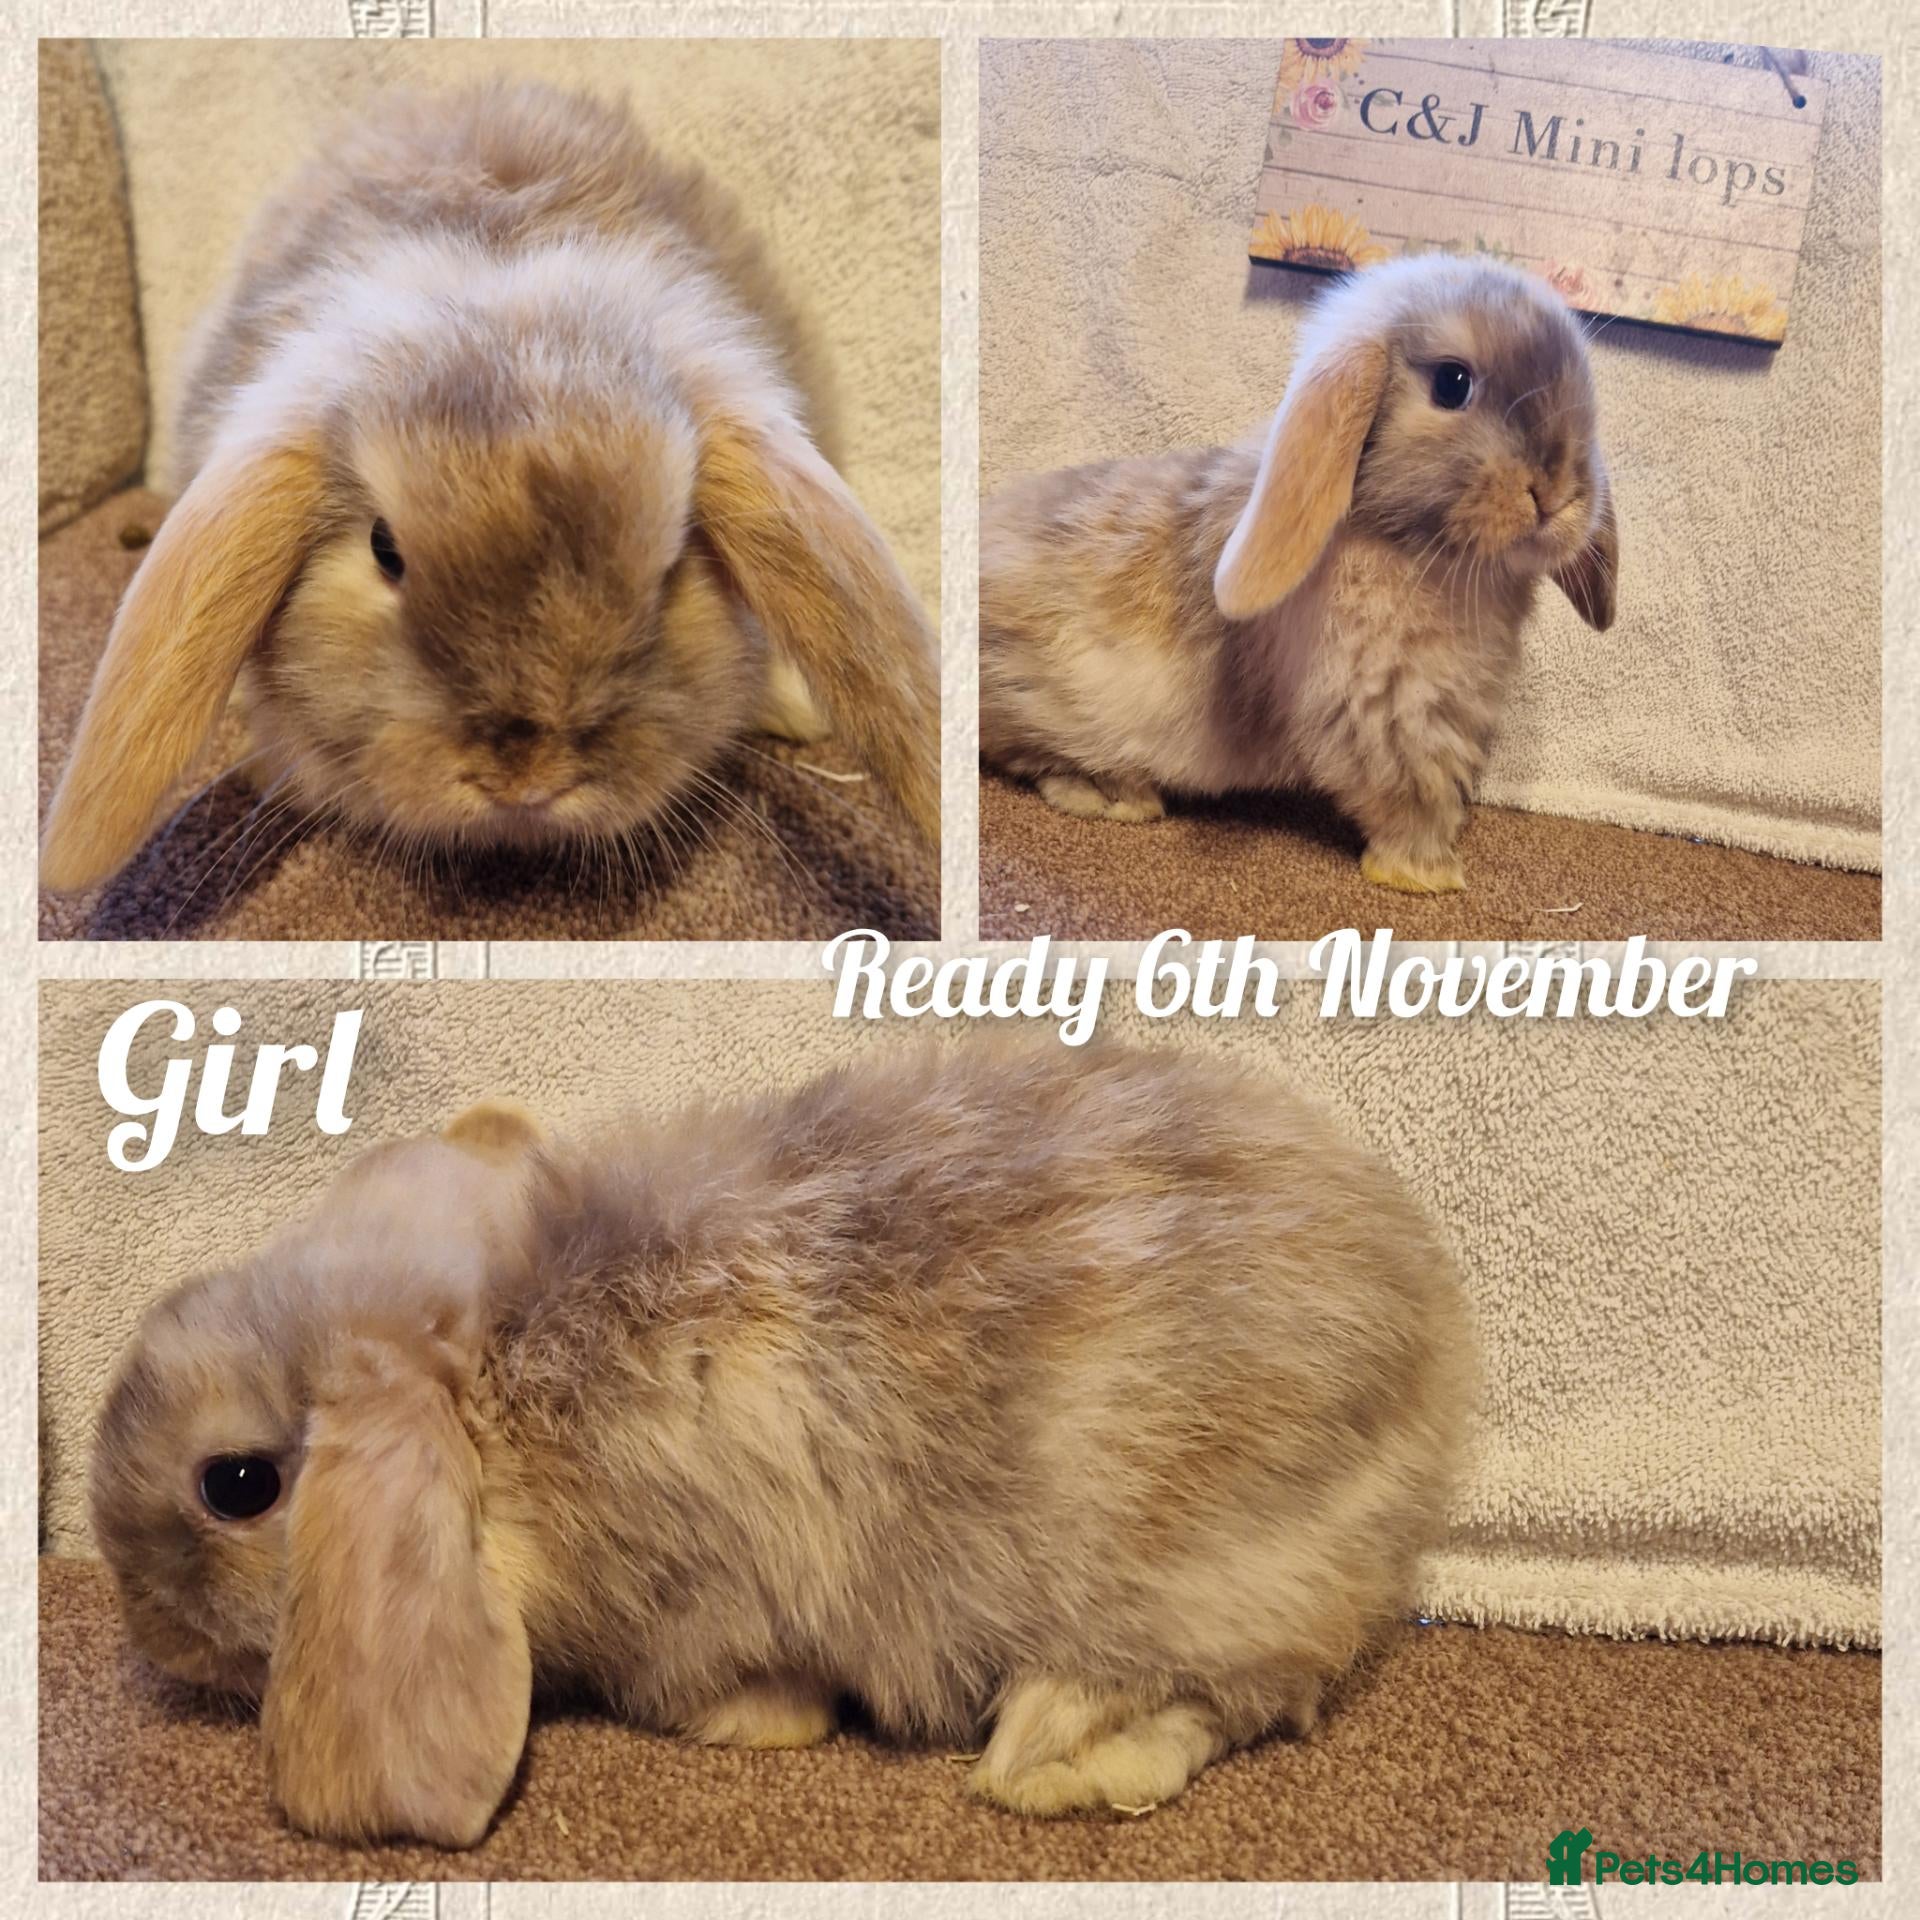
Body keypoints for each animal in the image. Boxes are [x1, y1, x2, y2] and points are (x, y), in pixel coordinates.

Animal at [90, 1043, 1476, 1848]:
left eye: (239, 1485)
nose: (146, 1637)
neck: (498, 1392)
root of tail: (1428, 1346)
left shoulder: (698, 1607)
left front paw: (751, 1731)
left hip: (1204, 1579)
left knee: (1231, 1696)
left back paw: (1045, 1760)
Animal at [980, 255, 1618, 894]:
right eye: (1452, 383)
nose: (1557, 494)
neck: (1411, 550)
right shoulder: (1384, 713)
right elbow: (1410, 796)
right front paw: (1426, 874)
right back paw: (1112, 795)